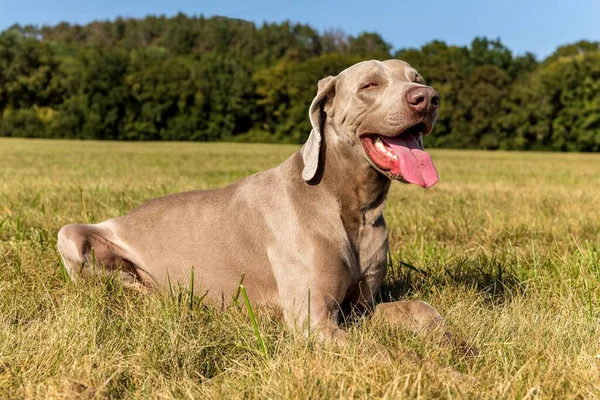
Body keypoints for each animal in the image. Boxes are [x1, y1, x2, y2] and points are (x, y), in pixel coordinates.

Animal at [58, 59, 450, 344]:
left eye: (416, 78)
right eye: (369, 85)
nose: (428, 98)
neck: (349, 204)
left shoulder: (361, 307)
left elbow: (422, 309)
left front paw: (451, 346)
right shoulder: (313, 320)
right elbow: (380, 351)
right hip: (71, 235)